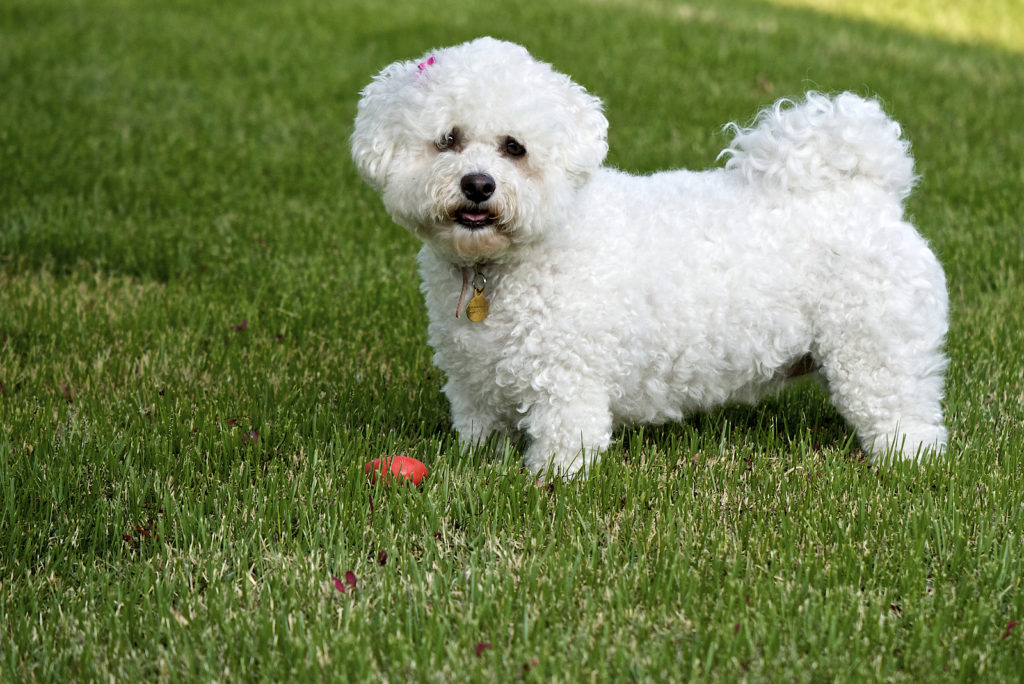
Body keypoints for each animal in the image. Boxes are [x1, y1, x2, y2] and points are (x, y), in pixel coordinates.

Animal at [352, 36, 950, 475]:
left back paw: (908, 461)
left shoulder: (568, 377)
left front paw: (551, 482)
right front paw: (480, 467)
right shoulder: (472, 378)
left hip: (873, 351)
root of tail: (871, 191)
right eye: (447, 140)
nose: (478, 185)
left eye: (514, 148)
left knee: (906, 416)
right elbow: (480, 431)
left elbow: (565, 442)